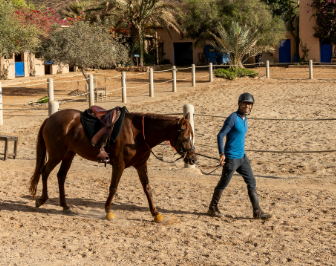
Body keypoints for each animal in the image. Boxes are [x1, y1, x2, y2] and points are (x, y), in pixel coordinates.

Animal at [30, 108, 197, 222]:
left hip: (68, 155)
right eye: (185, 137)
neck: (137, 134)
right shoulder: (119, 165)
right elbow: (113, 187)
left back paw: (65, 206)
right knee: (44, 172)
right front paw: (108, 211)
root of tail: (49, 119)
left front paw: (155, 213)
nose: (193, 159)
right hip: (56, 155)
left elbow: (148, 189)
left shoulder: (141, 165)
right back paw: (42, 199)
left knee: (61, 176)